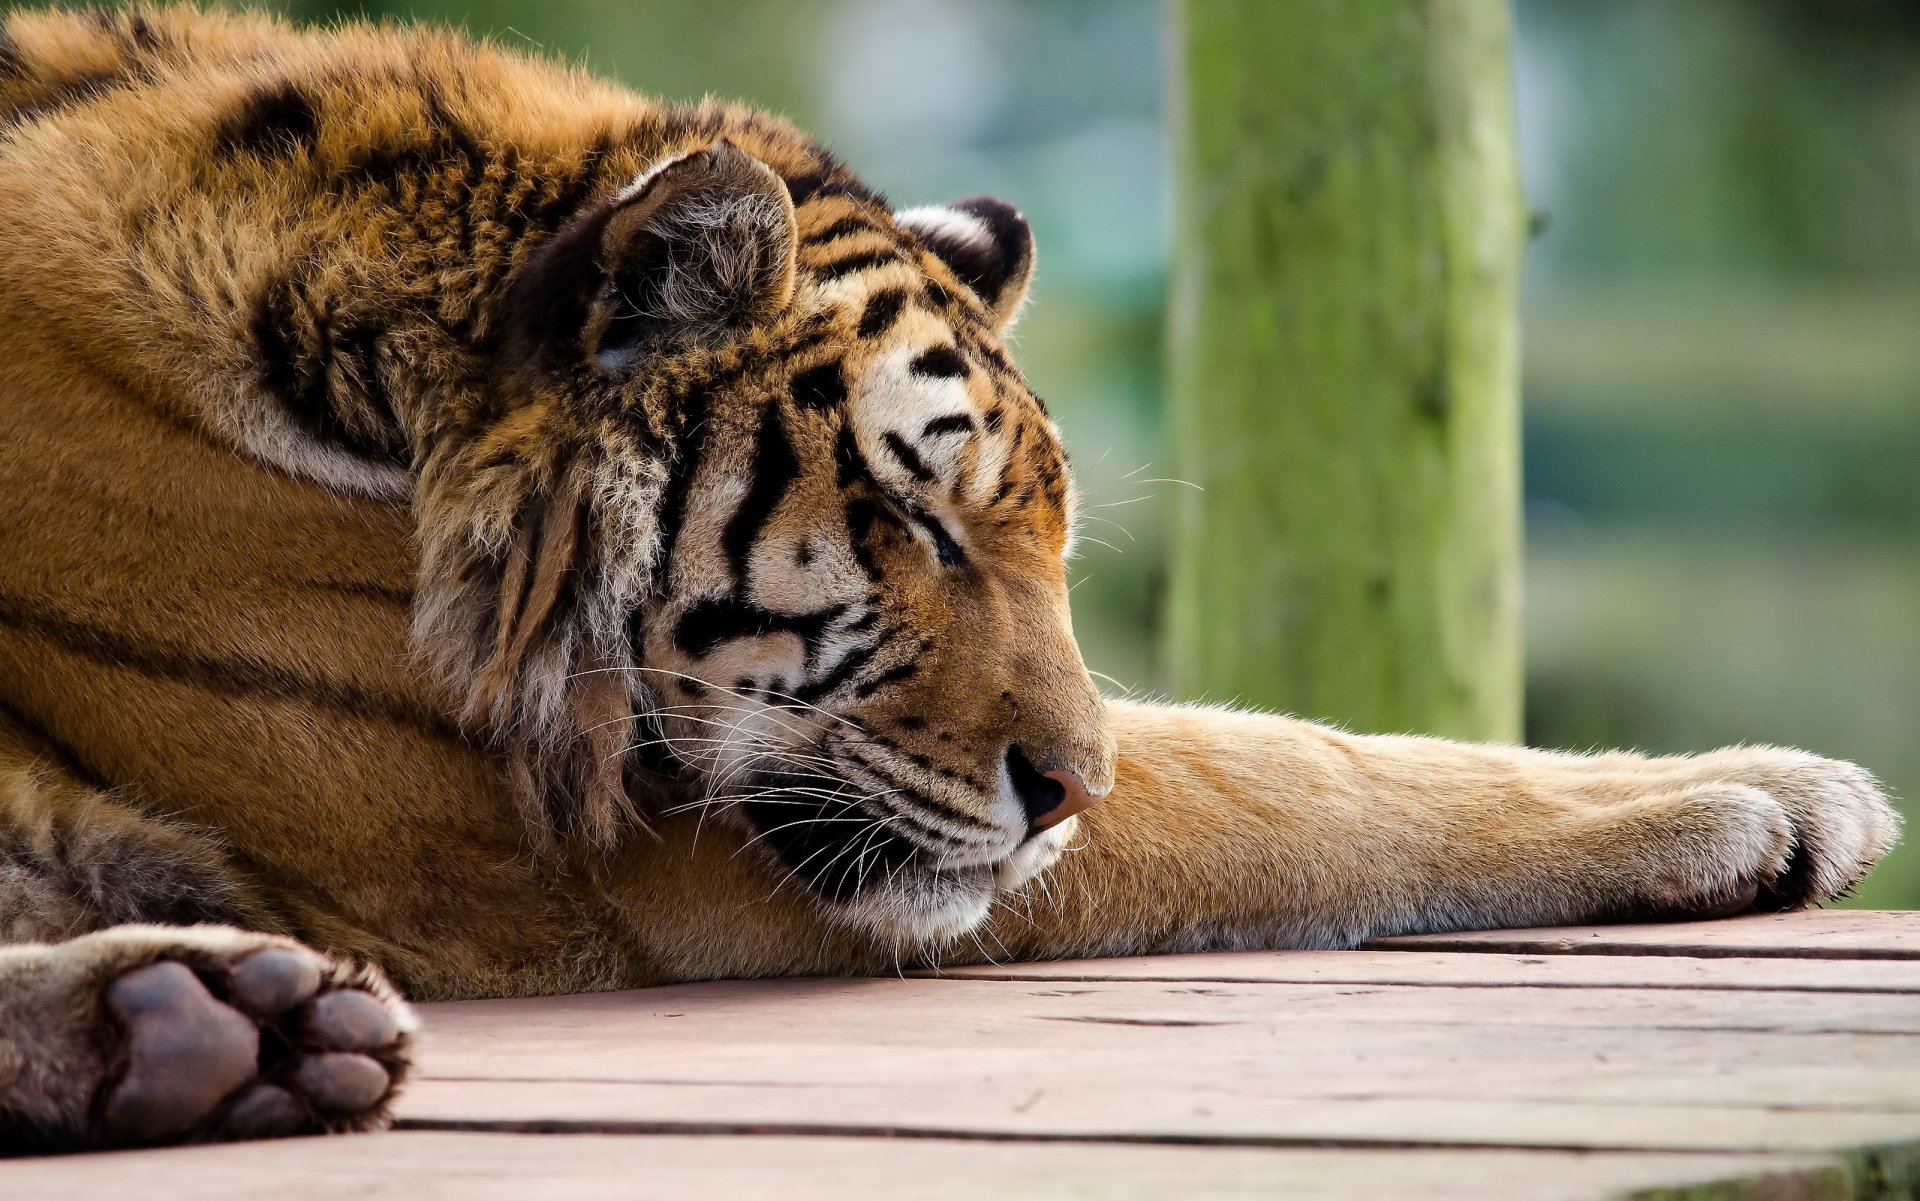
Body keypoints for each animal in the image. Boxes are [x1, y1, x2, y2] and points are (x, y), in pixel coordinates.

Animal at [0, 2, 1896, 1151]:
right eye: (914, 522)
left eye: (1052, 543)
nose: (1065, 790)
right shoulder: (562, 844)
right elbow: (1280, 773)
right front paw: (1764, 793)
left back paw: (205, 1023)